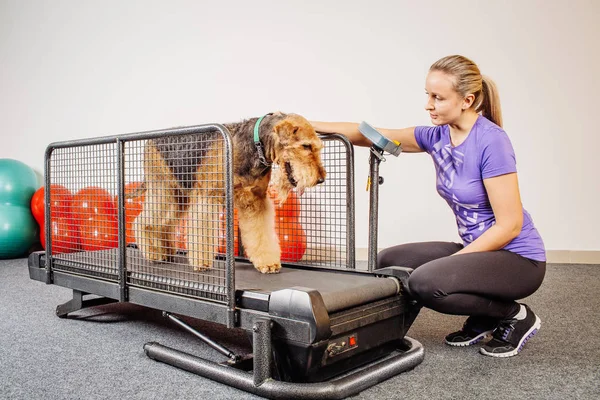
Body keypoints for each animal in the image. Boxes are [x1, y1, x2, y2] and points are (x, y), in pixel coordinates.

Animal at [134, 114, 326, 274]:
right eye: (306, 146)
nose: (321, 179)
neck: (256, 145)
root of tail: (148, 142)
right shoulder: (208, 198)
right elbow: (203, 232)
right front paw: (202, 263)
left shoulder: (255, 201)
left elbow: (261, 234)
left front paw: (268, 263)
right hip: (163, 190)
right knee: (142, 221)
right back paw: (153, 254)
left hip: (178, 197)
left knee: (165, 225)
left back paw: (166, 252)